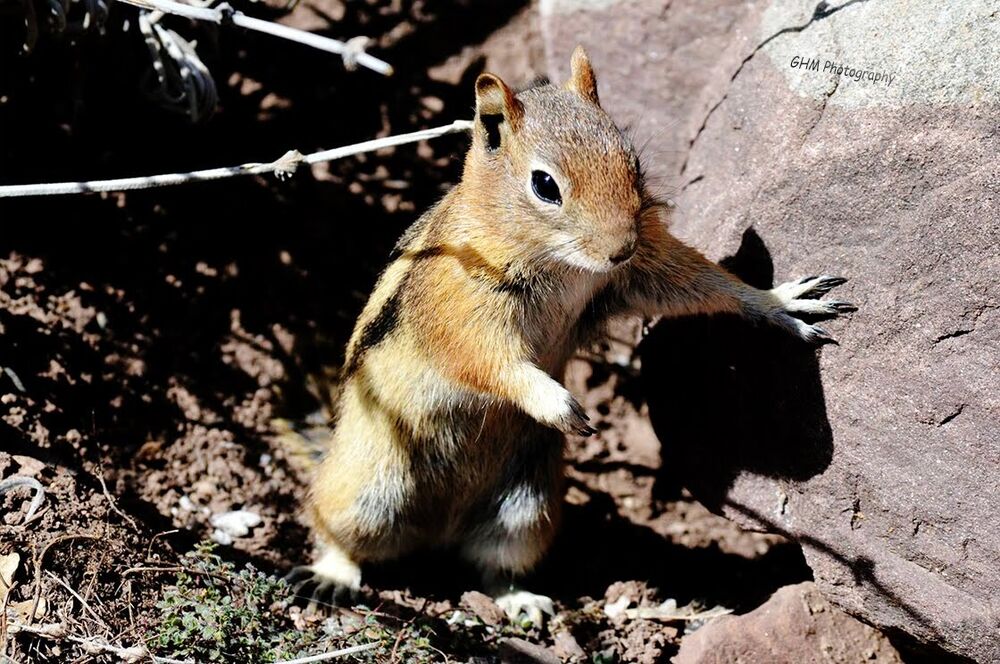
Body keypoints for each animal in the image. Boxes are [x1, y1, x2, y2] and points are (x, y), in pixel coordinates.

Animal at [290, 46, 854, 624]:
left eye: (632, 163)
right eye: (545, 185)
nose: (621, 246)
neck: (561, 266)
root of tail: (436, 531)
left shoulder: (636, 273)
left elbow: (704, 284)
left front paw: (779, 300)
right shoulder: (461, 309)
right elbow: (489, 361)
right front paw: (558, 403)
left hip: (525, 509)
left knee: (492, 564)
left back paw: (520, 601)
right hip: (368, 489)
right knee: (336, 532)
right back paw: (332, 575)